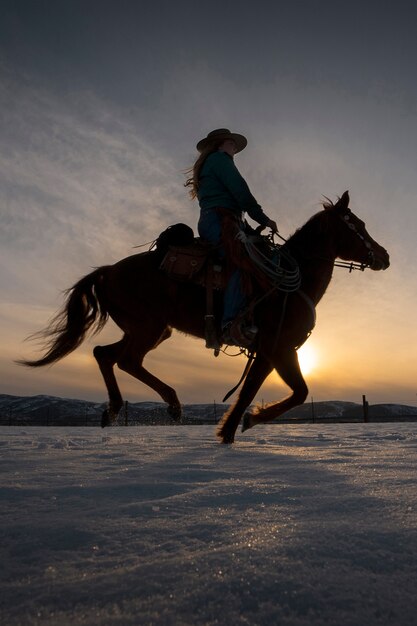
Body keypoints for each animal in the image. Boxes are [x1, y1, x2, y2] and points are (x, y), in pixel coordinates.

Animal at [19, 193, 388, 442]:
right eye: (358, 226)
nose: (384, 256)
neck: (290, 280)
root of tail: (108, 271)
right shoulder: (279, 348)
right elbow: (291, 392)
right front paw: (244, 424)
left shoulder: (269, 353)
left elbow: (256, 392)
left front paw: (233, 429)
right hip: (148, 327)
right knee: (127, 360)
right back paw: (172, 404)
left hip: (150, 330)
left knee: (105, 355)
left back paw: (113, 410)